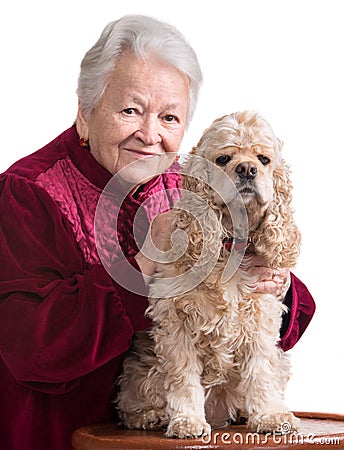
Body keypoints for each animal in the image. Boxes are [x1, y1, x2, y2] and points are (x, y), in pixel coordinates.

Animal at [117, 110, 300, 438]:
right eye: (223, 158)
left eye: (264, 159)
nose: (247, 170)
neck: (229, 246)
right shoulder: (176, 321)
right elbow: (182, 376)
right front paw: (187, 420)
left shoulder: (261, 318)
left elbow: (261, 370)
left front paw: (270, 415)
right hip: (140, 369)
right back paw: (150, 415)